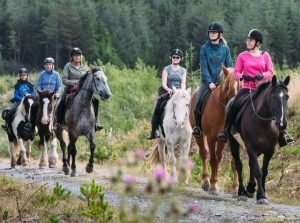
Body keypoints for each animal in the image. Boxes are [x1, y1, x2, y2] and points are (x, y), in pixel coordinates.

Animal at [229, 76, 290, 205]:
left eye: (287, 96)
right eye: (273, 97)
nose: (282, 124)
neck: (263, 123)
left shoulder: (269, 150)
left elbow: (264, 171)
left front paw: (262, 193)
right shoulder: (251, 147)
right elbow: (258, 171)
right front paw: (261, 195)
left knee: (250, 164)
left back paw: (250, 188)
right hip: (233, 143)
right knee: (239, 165)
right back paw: (242, 192)